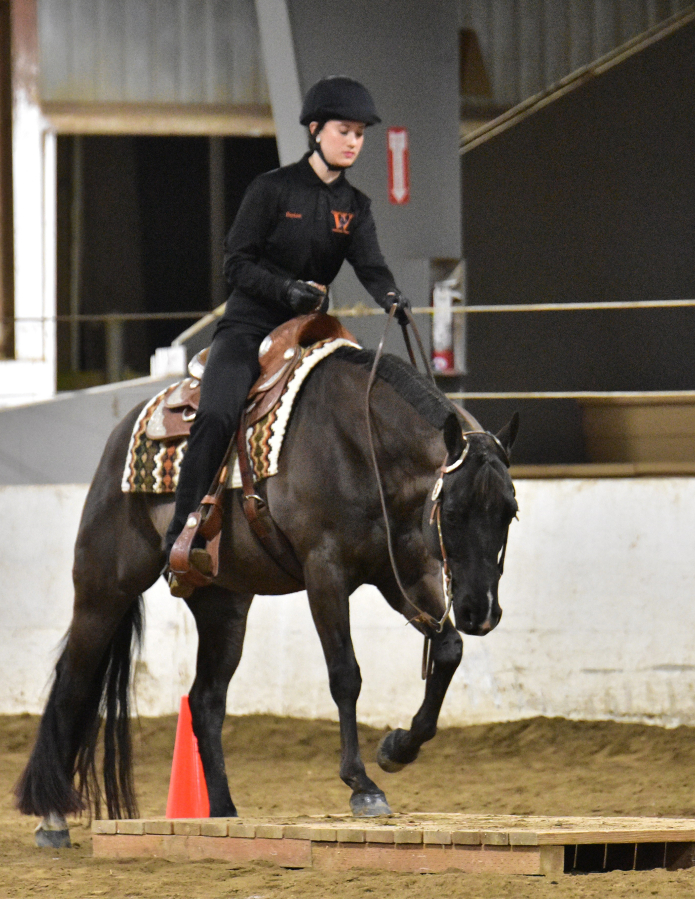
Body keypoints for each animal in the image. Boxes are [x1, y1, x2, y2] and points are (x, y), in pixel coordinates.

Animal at [14, 344, 516, 844]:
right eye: (452, 511)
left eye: (510, 511)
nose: (481, 611)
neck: (364, 446)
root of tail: (123, 432)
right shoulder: (325, 572)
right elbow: (345, 675)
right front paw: (362, 786)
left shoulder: (401, 574)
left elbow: (448, 651)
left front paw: (397, 748)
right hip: (103, 588)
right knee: (73, 682)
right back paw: (52, 818)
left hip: (223, 606)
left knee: (205, 701)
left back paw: (222, 809)